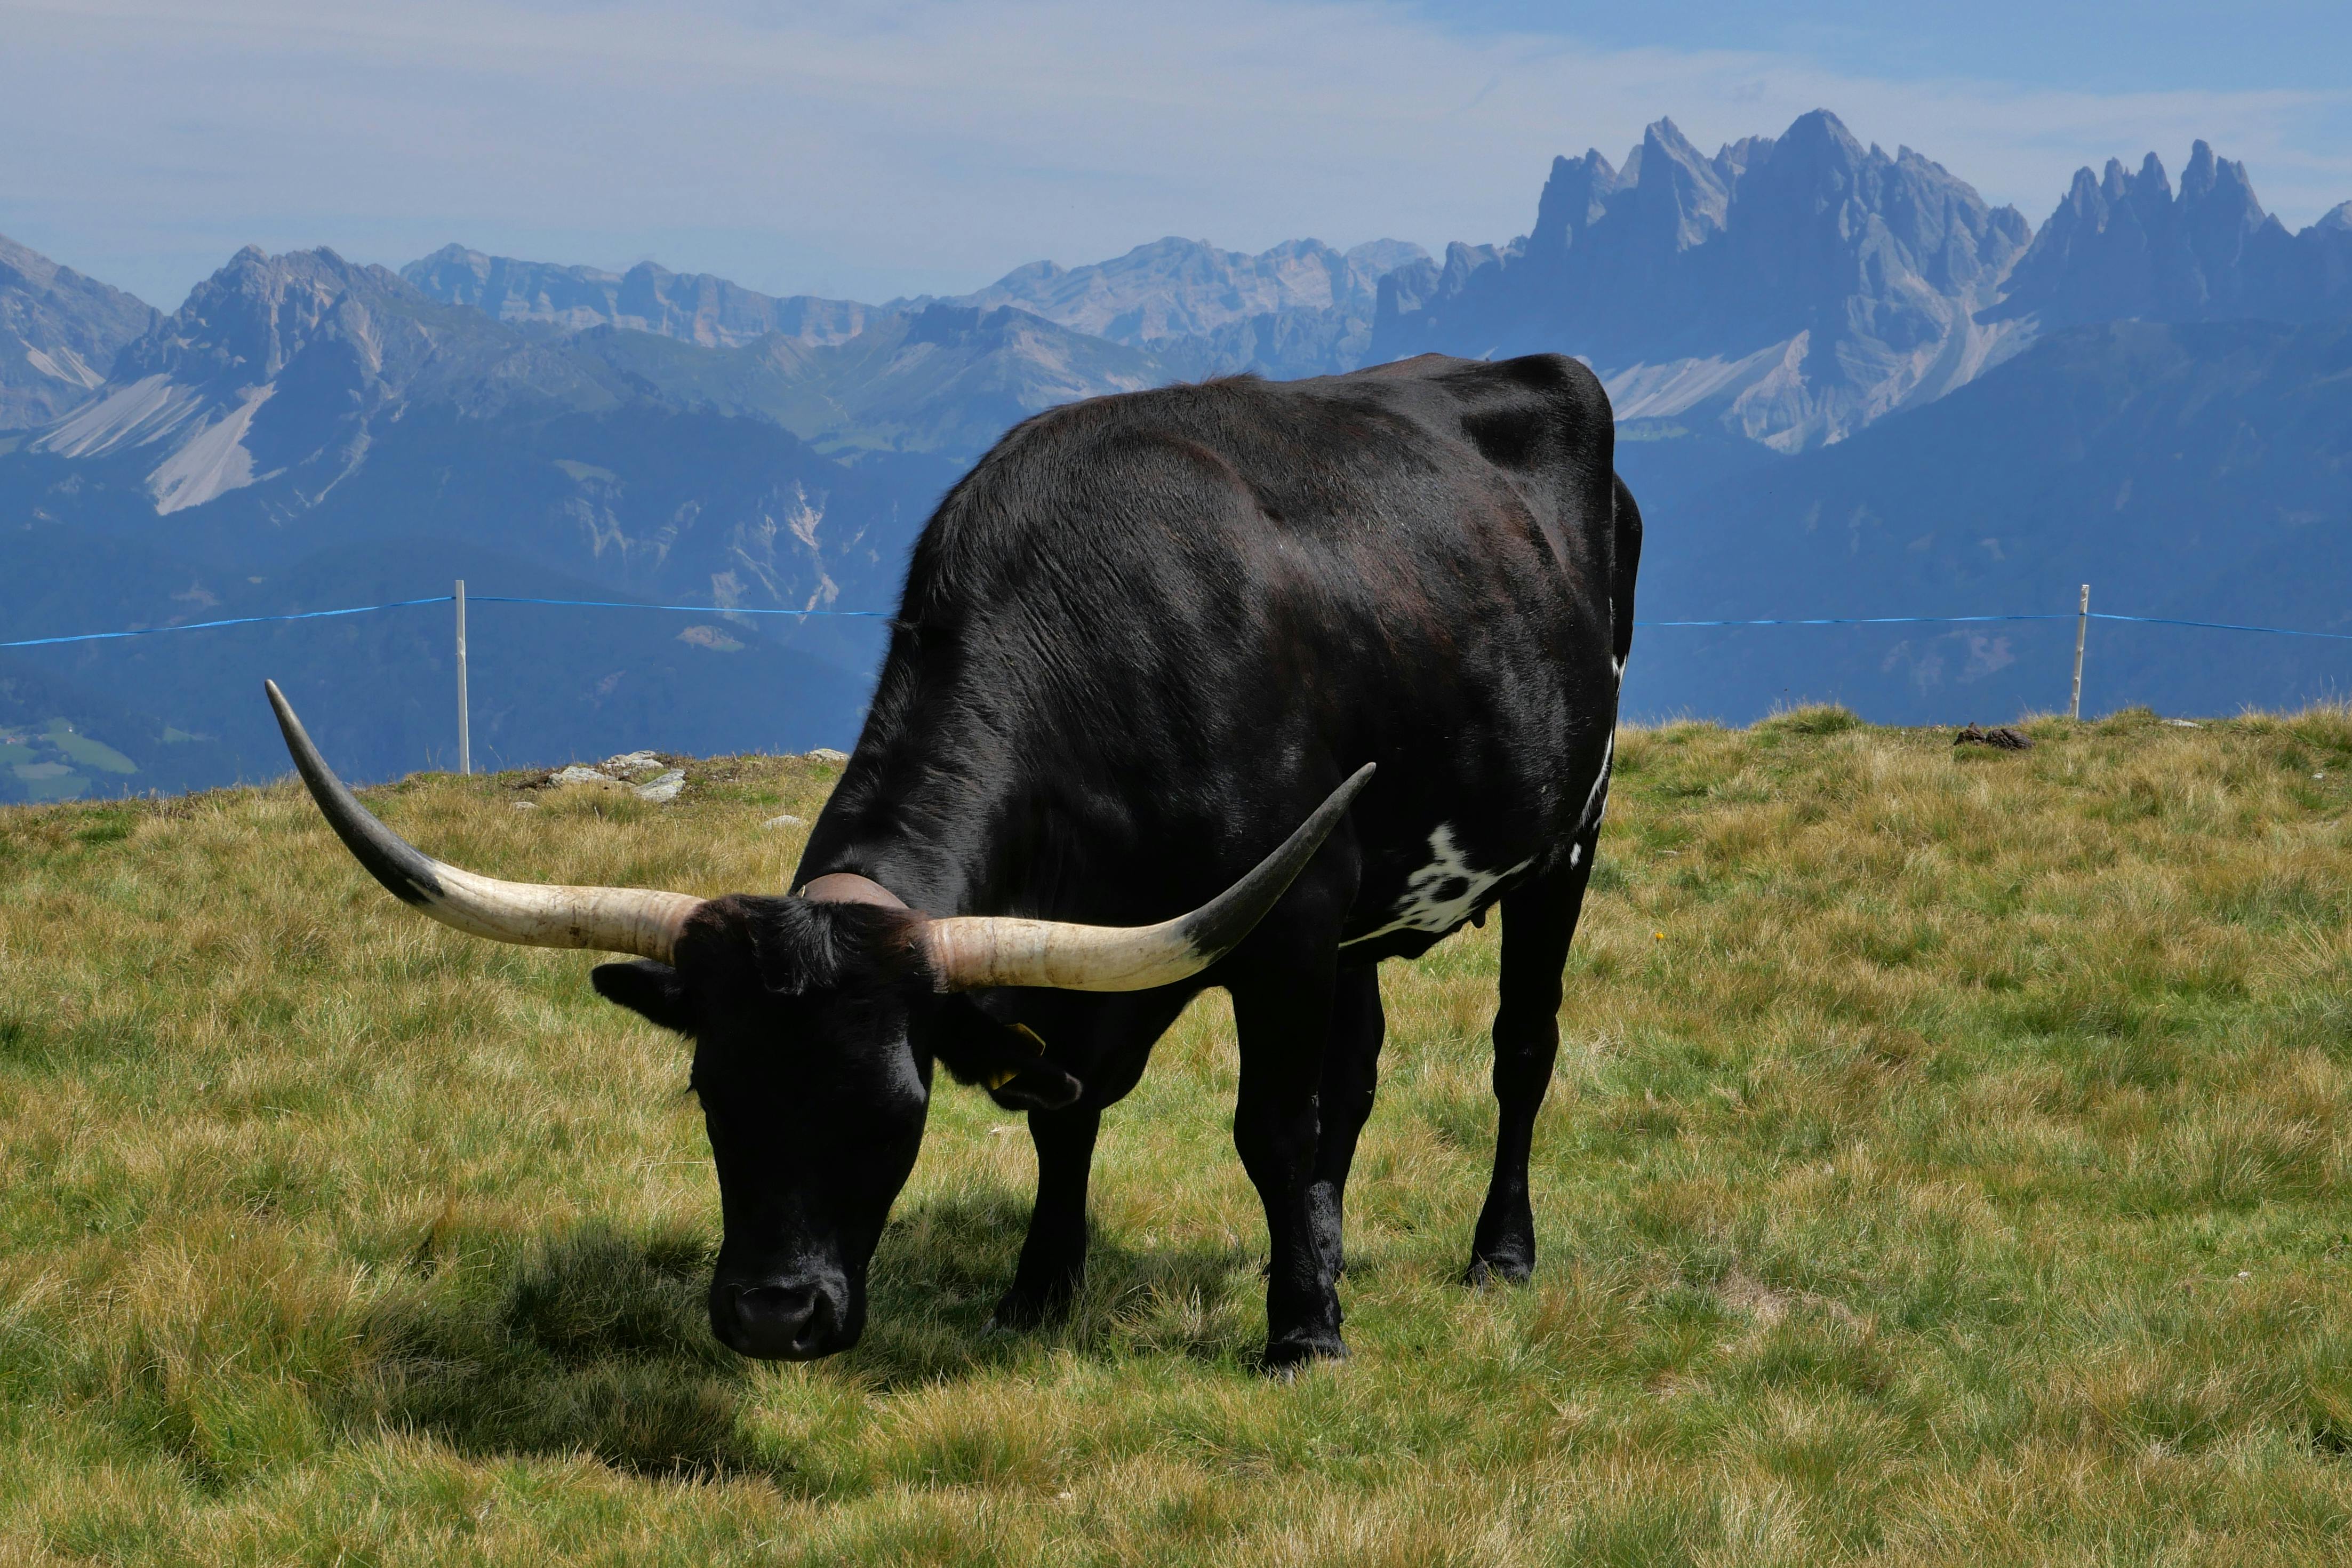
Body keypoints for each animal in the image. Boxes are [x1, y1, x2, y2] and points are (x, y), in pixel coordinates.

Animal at [266, 350, 1639, 1372]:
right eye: (712, 1095)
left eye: (898, 1109)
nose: (775, 1315)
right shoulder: (1091, 978)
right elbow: (1068, 1116)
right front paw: (1041, 1290)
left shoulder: (1289, 921)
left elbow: (1272, 1128)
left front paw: (1303, 1334)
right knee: (1356, 1076)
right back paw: (1329, 1245)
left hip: (1567, 837)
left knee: (1518, 1052)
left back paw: (1494, 1254)